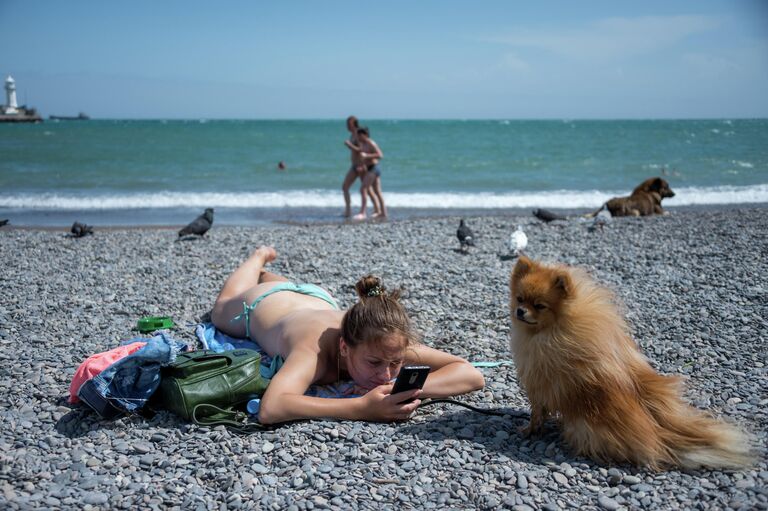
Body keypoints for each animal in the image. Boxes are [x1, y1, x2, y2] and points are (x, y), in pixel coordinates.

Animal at [510, 256, 752, 472]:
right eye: (520, 298)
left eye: (539, 305)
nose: (520, 311)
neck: (553, 329)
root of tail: (657, 431)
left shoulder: (537, 384)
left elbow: (537, 412)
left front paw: (530, 429)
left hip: (581, 426)